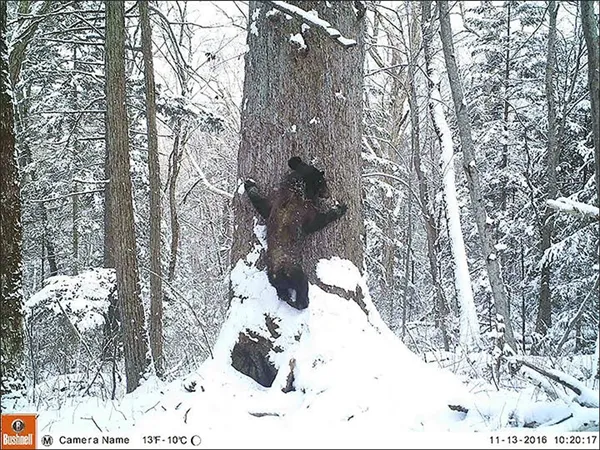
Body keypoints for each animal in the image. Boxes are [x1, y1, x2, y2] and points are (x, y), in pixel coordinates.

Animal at [244, 157, 346, 310]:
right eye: (323, 183)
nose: (328, 194)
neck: (296, 190)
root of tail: (277, 275)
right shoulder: (306, 212)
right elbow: (317, 222)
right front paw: (340, 209)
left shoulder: (273, 203)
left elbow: (261, 204)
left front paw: (249, 184)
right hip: (295, 272)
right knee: (302, 286)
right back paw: (303, 302)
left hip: (276, 282)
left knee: (282, 293)